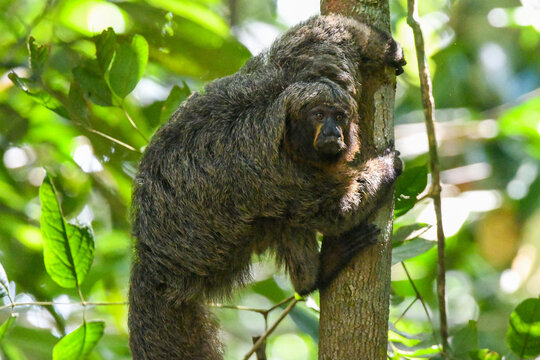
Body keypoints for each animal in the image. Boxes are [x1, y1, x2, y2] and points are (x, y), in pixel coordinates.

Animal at [127, 12, 404, 358]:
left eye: (339, 117)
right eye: (319, 116)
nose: (333, 133)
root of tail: (151, 261)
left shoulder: (300, 72)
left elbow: (323, 35)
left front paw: (384, 48)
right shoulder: (277, 174)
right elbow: (335, 212)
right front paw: (386, 167)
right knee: (288, 217)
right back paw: (317, 274)